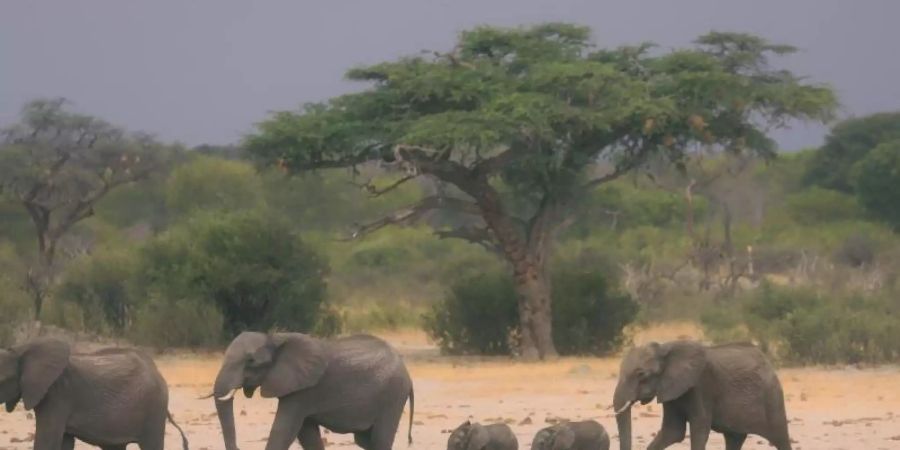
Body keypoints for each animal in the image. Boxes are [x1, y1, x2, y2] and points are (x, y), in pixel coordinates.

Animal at [0, 338, 187, 450]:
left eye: (2, 380)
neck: (21, 349)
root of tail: (157, 371)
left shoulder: (58, 396)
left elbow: (48, 442)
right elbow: (64, 442)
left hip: (154, 408)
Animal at [213, 330, 416, 450]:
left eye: (251, 362)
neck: (276, 339)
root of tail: (407, 373)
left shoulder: (303, 391)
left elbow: (284, 430)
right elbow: (306, 433)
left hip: (392, 395)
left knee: (380, 440)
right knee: (365, 440)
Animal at [608, 342, 792, 450]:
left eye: (641, 375)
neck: (666, 347)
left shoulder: (701, 386)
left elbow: (699, 427)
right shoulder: (671, 390)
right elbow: (672, 431)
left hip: (772, 396)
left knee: (780, 438)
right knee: (734, 437)